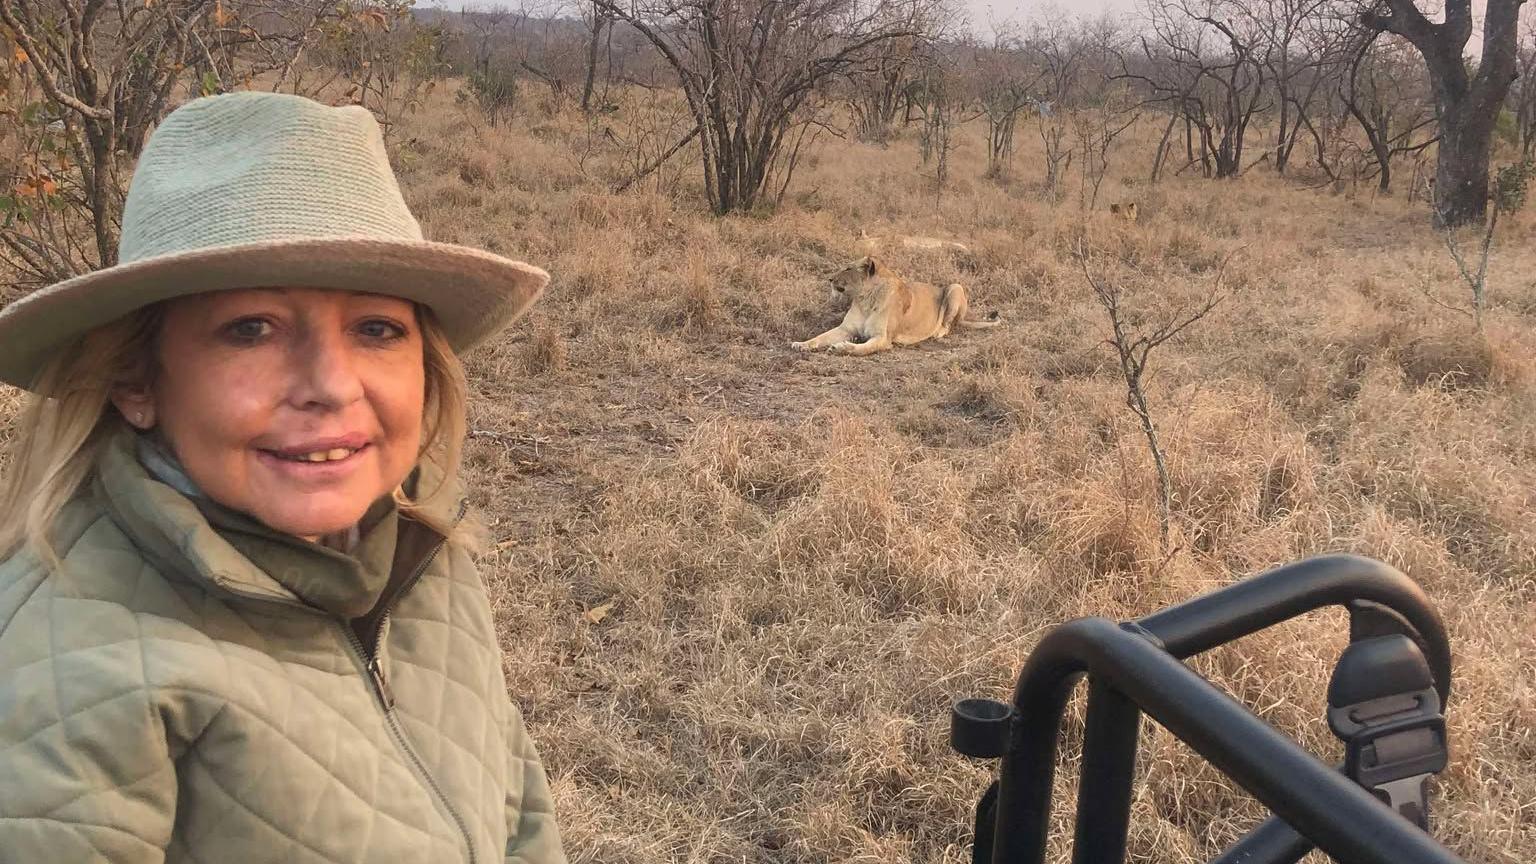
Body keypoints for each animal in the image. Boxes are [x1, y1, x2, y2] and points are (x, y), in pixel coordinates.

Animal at [786, 253, 1001, 355]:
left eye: (848, 268)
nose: (829, 279)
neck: (864, 299)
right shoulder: (845, 329)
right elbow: (820, 337)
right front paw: (801, 344)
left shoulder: (883, 338)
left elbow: (863, 349)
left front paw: (842, 348)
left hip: (955, 287)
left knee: (949, 326)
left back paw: (937, 332)